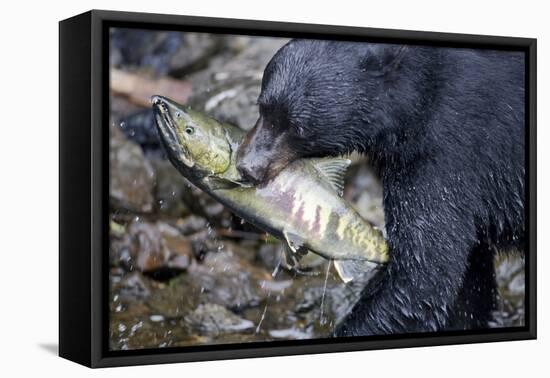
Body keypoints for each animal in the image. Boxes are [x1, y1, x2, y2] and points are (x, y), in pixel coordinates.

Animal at [236, 39, 528, 334]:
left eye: (297, 127)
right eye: (262, 108)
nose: (247, 166)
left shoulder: (446, 156)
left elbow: (422, 273)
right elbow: (468, 279)